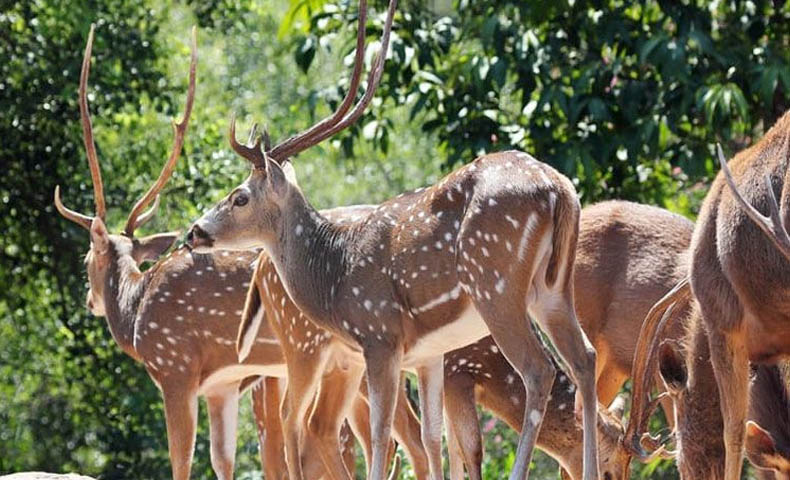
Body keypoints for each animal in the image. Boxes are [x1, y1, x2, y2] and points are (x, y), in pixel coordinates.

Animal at [53, 23, 424, 480]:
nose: (89, 300)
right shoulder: (223, 386)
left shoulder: (175, 368)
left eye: (86, 259)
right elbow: (222, 459)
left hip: (330, 348)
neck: (136, 313)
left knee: (392, 434)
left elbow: (182, 460)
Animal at [186, 0, 604, 480]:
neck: (333, 276)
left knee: (539, 369)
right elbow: (432, 434)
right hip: (553, 288)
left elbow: (384, 435)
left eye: (239, 197)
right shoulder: (426, 352)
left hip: (494, 283)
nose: (193, 231)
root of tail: (559, 189)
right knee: (584, 358)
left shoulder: (378, 334)